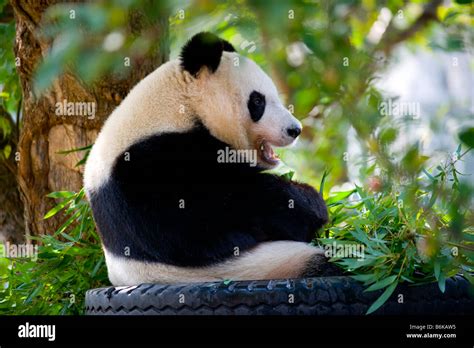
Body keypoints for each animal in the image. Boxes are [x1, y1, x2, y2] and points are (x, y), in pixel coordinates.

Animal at [84, 32, 336, 286]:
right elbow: (207, 222)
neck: (179, 105)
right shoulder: (150, 165)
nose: (295, 130)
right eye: (257, 101)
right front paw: (310, 203)